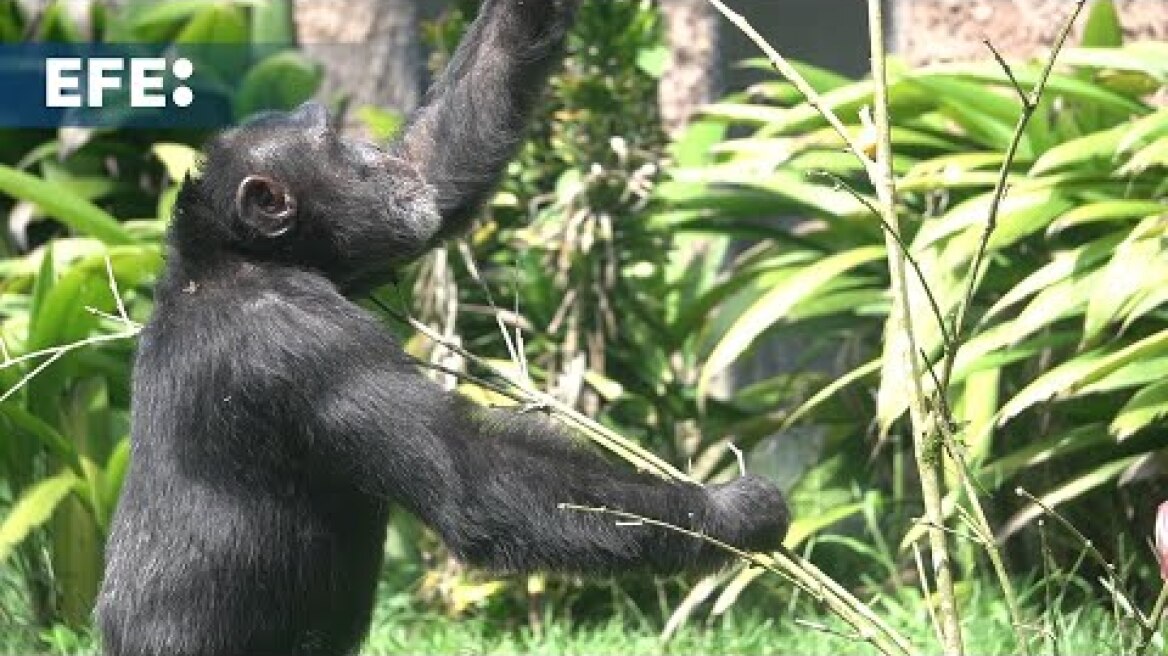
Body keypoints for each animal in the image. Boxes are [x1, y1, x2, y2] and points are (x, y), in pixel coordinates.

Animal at [95, 1, 789, 653]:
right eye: (335, 145)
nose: (370, 152)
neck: (243, 259)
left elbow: (437, 162)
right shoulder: (305, 339)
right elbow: (472, 474)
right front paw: (731, 509)